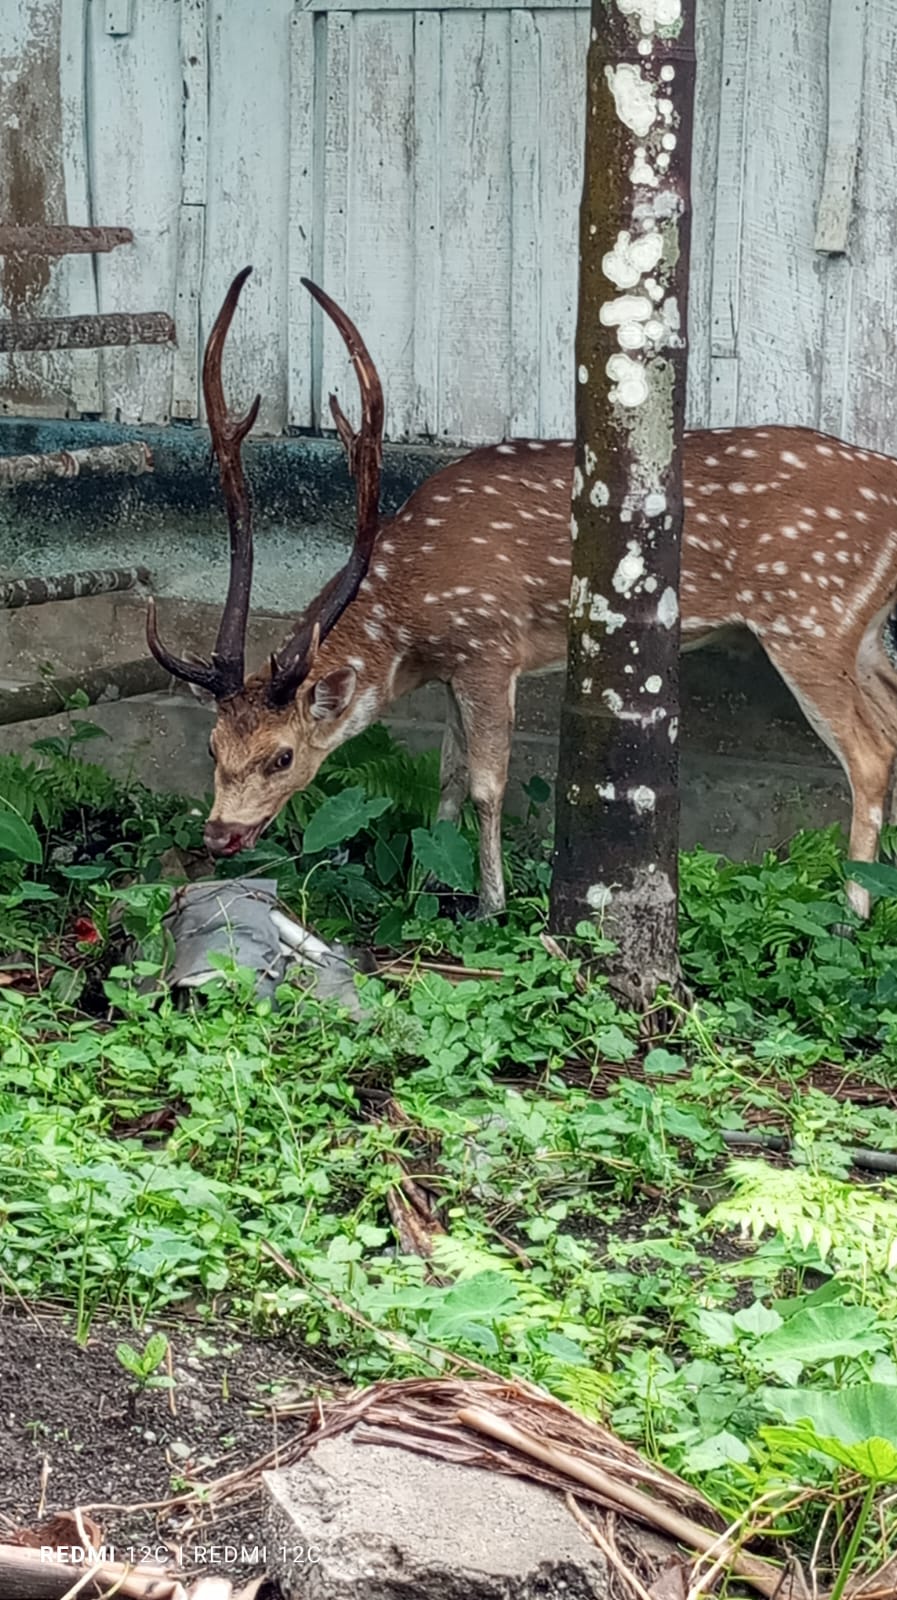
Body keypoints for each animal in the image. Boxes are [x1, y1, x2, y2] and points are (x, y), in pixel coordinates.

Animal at [148, 268, 897, 921]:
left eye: (281, 755)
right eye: (212, 748)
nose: (219, 835)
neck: (409, 614)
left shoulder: (488, 645)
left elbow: (486, 784)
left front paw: (490, 902)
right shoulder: (454, 668)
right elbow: (446, 777)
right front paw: (430, 887)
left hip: (809, 614)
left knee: (867, 754)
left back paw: (852, 910)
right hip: (856, 628)